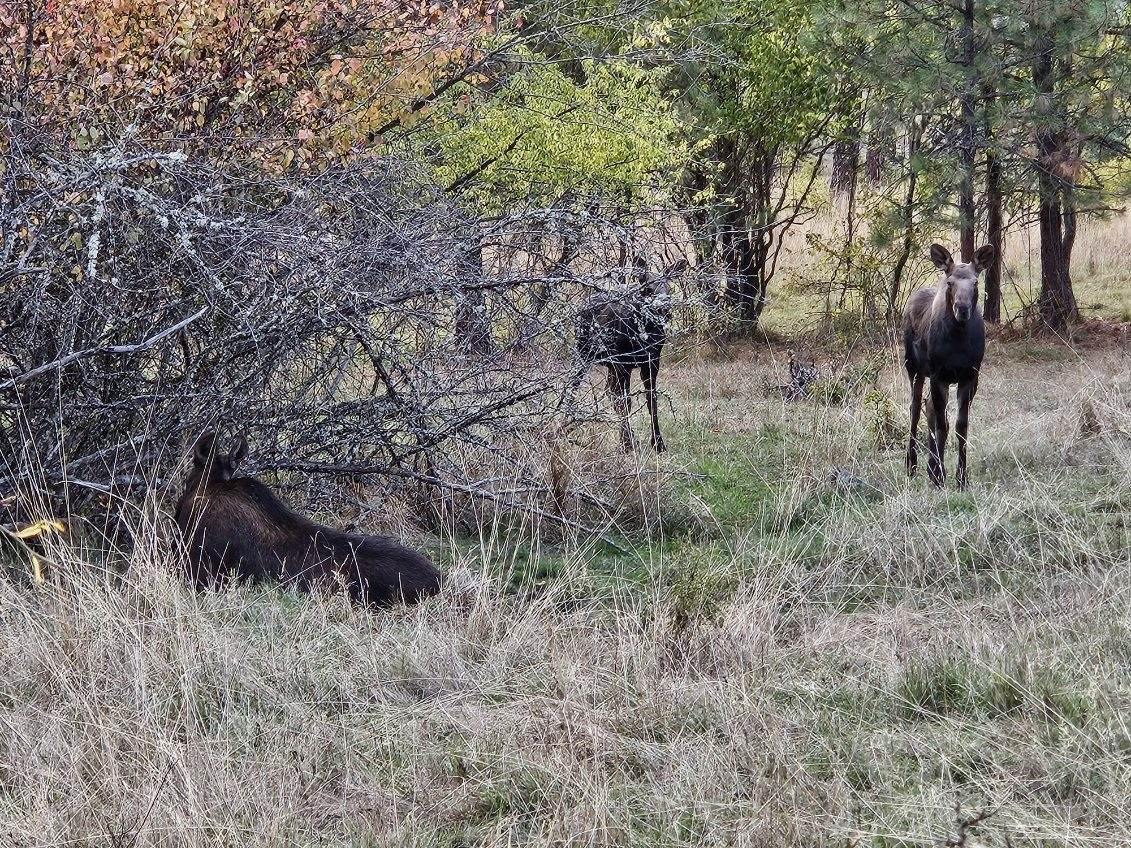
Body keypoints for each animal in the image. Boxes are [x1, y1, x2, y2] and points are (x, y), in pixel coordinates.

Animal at [574, 256, 686, 453]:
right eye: (647, 288)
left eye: (669, 288)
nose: (664, 309)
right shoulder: (622, 363)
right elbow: (625, 401)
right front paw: (626, 444)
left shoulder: (651, 362)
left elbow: (652, 400)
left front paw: (658, 443)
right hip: (584, 354)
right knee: (576, 386)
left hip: (610, 365)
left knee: (609, 391)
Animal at [904, 243, 995, 490]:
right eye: (950, 282)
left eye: (975, 282)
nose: (962, 308)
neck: (958, 340)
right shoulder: (939, 375)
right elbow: (942, 425)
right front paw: (939, 476)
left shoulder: (970, 376)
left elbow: (960, 426)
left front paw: (961, 477)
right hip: (913, 368)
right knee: (915, 408)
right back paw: (912, 464)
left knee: (928, 407)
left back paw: (929, 465)